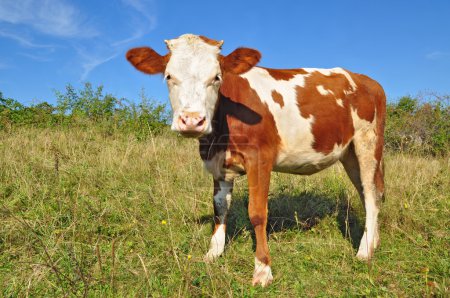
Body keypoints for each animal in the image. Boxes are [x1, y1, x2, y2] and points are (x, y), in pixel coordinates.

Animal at [126, 33, 386, 288]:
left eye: (217, 77)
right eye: (169, 76)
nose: (191, 120)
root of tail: (368, 80)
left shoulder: (260, 159)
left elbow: (257, 213)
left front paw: (262, 270)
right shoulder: (218, 163)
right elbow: (220, 208)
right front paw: (213, 254)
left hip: (368, 142)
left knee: (372, 194)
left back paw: (364, 252)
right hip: (349, 153)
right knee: (367, 193)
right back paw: (374, 242)